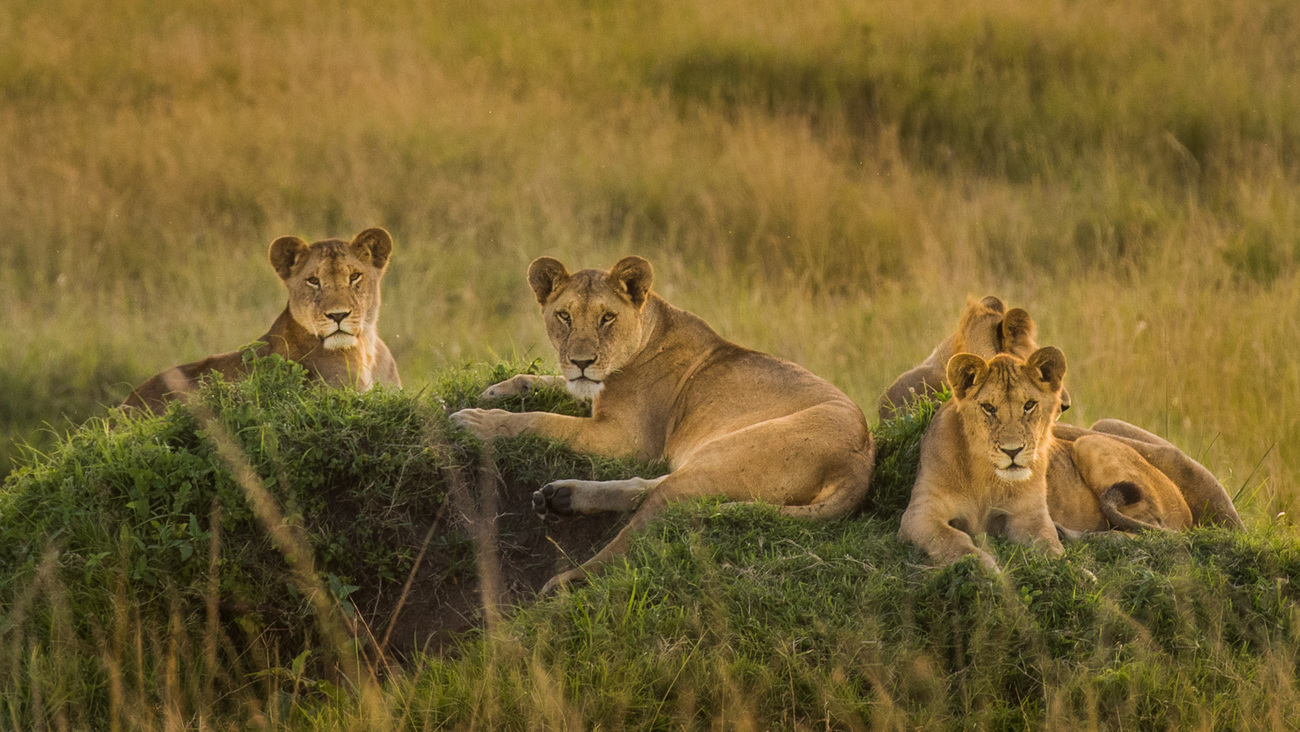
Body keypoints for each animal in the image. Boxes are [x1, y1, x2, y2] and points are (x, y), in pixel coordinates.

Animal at [452, 254, 878, 592]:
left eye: (607, 318)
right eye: (564, 316)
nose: (581, 361)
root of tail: (859, 465)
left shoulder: (626, 439)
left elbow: (541, 421)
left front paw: (478, 421)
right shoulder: (592, 397)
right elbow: (547, 383)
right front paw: (498, 390)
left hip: (724, 456)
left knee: (642, 528)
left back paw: (568, 581)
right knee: (648, 488)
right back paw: (561, 496)